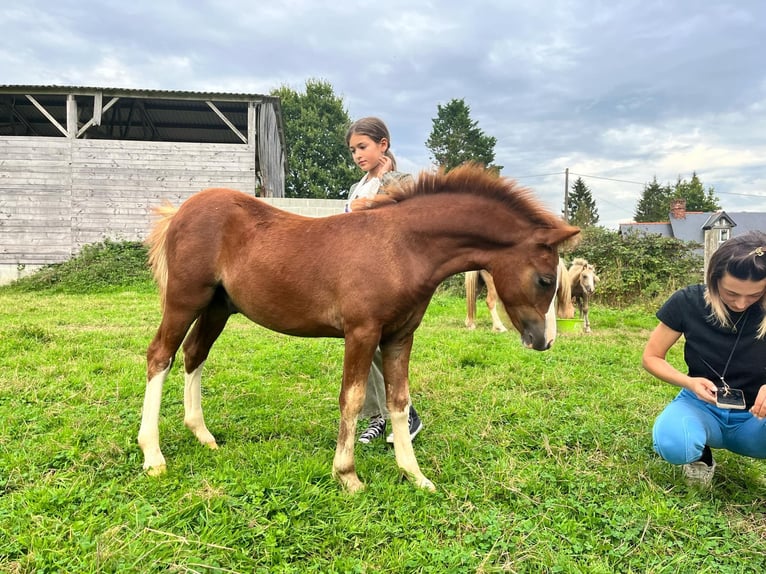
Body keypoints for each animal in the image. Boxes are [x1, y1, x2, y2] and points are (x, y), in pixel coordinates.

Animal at [137, 164, 580, 493]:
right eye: (545, 279)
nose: (545, 341)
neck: (401, 247)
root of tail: (180, 212)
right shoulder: (362, 333)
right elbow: (350, 399)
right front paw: (347, 475)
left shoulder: (400, 336)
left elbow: (398, 400)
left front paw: (415, 475)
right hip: (185, 299)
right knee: (161, 355)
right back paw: (153, 456)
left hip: (217, 308)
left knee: (194, 355)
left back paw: (203, 435)